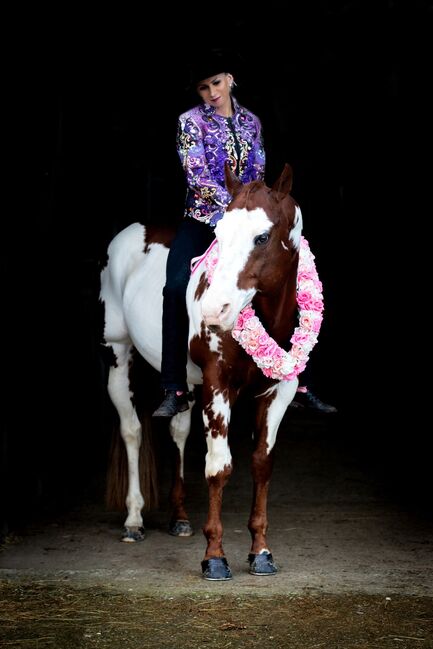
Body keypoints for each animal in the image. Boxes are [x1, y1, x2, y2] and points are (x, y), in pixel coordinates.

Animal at [100, 165, 304, 580]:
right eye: (219, 234)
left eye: (262, 236)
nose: (214, 310)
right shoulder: (218, 386)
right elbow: (218, 467)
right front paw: (215, 556)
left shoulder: (280, 390)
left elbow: (262, 463)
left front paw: (261, 551)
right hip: (118, 352)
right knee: (132, 431)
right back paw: (133, 520)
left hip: (186, 385)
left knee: (178, 431)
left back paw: (179, 517)